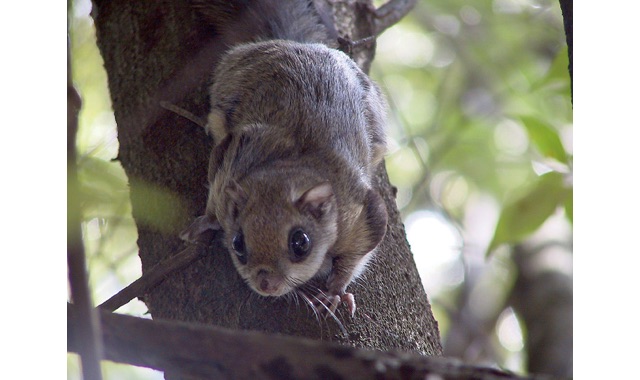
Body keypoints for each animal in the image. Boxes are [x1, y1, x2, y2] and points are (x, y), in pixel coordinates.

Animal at [179, 0, 390, 318]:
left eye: (300, 243)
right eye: (238, 243)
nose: (266, 283)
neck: (290, 166)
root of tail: (296, 43)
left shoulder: (362, 214)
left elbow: (354, 256)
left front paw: (335, 289)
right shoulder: (230, 162)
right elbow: (215, 200)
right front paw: (206, 221)